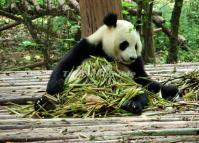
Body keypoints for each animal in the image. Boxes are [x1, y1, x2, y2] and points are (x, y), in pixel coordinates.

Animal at [34, 13, 179, 114]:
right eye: (124, 44)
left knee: (137, 91)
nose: (132, 57)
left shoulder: (136, 64)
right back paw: (45, 104)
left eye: (136, 45)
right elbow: (65, 64)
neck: (110, 55)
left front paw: (168, 89)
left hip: (126, 88)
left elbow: (143, 79)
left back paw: (133, 104)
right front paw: (55, 86)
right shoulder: (89, 46)